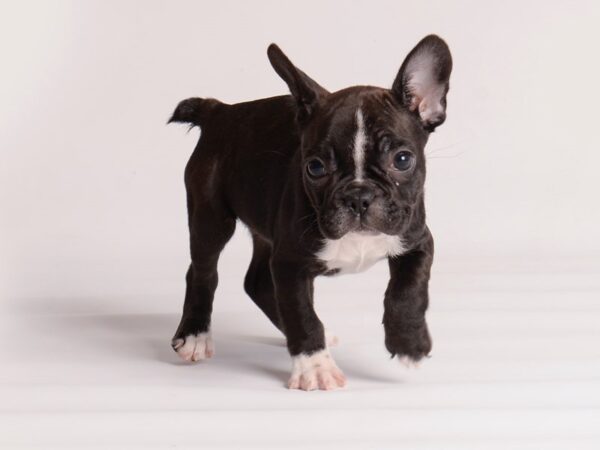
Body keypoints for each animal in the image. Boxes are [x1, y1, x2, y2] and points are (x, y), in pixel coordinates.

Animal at [168, 35, 450, 390]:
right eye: (314, 167)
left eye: (402, 160)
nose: (358, 196)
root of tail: (219, 109)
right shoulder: (290, 264)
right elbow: (302, 314)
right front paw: (314, 367)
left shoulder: (417, 241)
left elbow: (407, 292)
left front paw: (409, 343)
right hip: (211, 218)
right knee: (203, 272)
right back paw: (195, 335)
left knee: (257, 282)